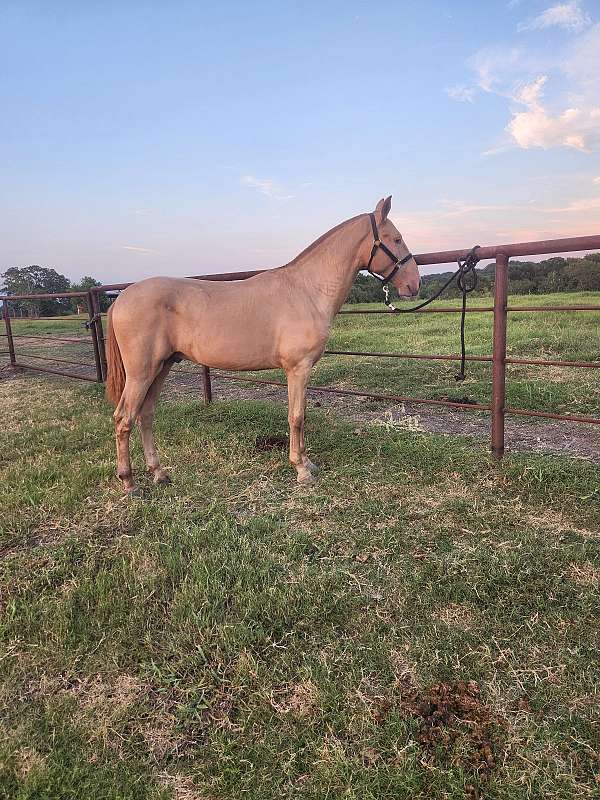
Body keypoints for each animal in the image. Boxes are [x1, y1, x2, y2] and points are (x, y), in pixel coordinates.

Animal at [104, 196, 422, 490]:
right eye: (396, 238)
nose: (414, 284)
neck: (307, 290)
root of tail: (121, 298)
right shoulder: (298, 368)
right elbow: (297, 416)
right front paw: (301, 469)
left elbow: (300, 414)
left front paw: (308, 463)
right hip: (142, 373)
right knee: (124, 418)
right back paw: (129, 482)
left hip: (163, 367)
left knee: (145, 415)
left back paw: (159, 473)